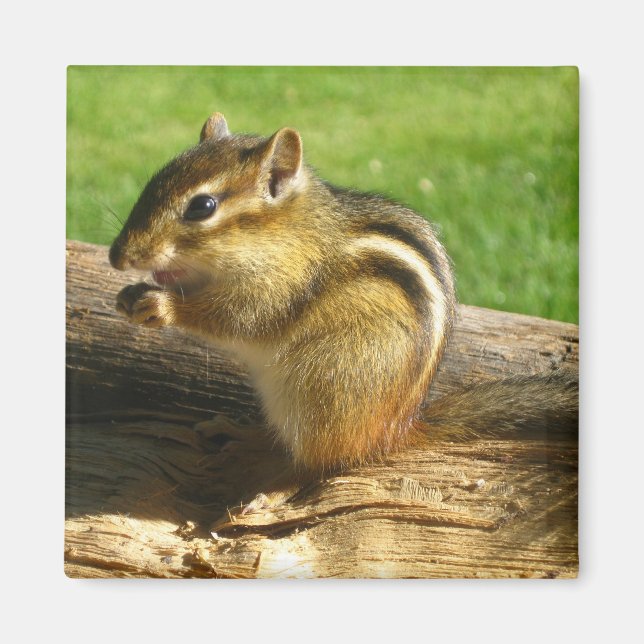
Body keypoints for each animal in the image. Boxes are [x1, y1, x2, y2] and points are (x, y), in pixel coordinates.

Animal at [109, 112, 578, 477]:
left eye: (202, 207)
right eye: (153, 182)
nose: (117, 256)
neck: (284, 234)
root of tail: (396, 429)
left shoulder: (280, 287)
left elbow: (238, 318)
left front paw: (161, 305)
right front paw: (130, 294)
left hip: (323, 387)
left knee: (314, 462)